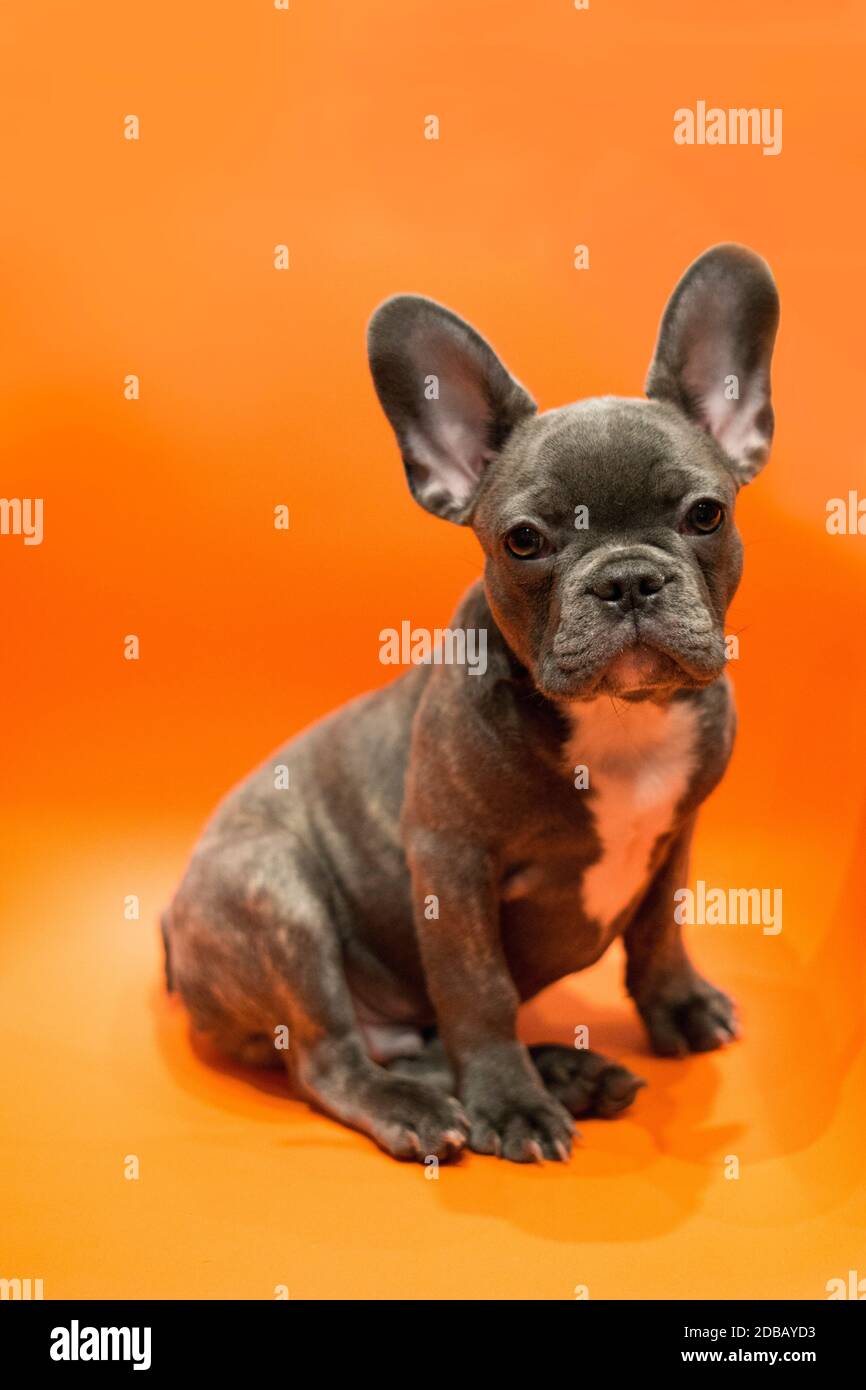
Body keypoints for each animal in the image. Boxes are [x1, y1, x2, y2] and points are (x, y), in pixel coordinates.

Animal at [162, 241, 778, 1162]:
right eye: (524, 540)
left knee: (417, 1045)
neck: (620, 720)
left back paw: (568, 1070)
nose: (628, 579)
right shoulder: (451, 866)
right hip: (276, 898)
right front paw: (509, 1105)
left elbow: (660, 928)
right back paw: (433, 1104)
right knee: (332, 1059)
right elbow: (477, 989)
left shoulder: (677, 832)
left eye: (706, 515)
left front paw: (678, 1005)